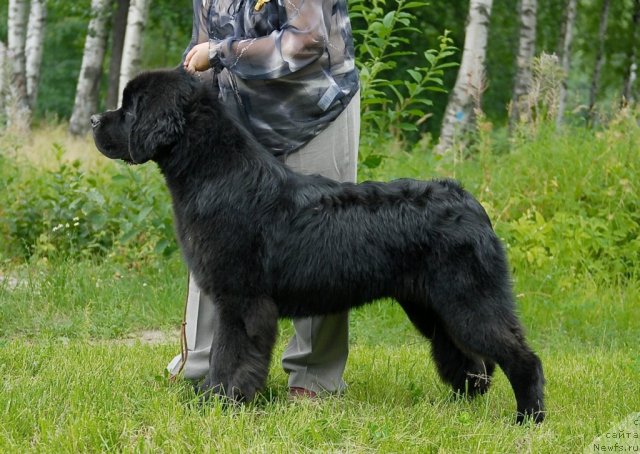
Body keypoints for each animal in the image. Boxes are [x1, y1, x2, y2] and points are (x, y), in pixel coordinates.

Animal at [91, 69, 544, 424]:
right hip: (432, 307)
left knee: (520, 356)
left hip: (468, 300)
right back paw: (461, 405)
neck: (215, 173)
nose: (95, 118)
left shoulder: (241, 301)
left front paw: (220, 402)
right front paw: (216, 399)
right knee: (469, 359)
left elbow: (230, 355)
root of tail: (469, 201)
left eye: (130, 108)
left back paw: (528, 419)